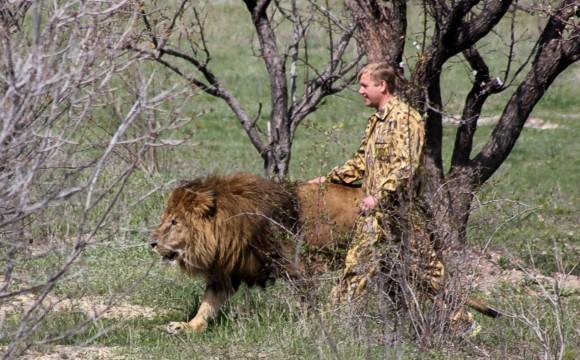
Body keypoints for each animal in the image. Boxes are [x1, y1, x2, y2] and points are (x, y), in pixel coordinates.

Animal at [151, 173, 498, 334]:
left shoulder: (296, 267)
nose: (151, 242)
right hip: (392, 266)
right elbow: (207, 305)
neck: (231, 227)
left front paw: (310, 329)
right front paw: (188, 327)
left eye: (174, 222)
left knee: (448, 287)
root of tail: (412, 204)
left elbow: (307, 303)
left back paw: (466, 327)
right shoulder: (226, 273)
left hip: (413, 255)